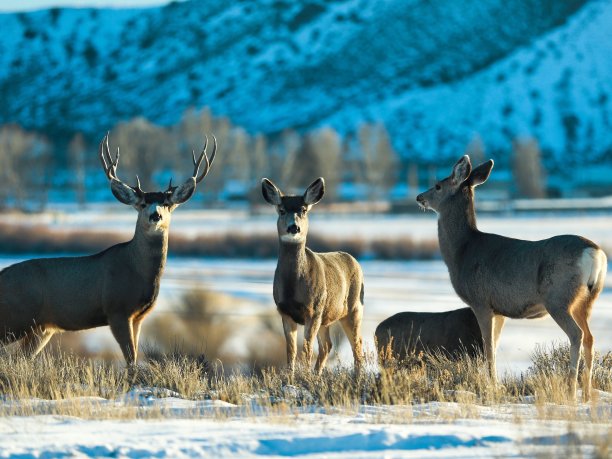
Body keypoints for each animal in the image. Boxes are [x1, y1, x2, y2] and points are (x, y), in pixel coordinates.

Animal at [0, 133, 216, 366]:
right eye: (141, 204)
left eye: (167, 203)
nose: (155, 215)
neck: (138, 271)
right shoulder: (117, 310)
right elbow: (130, 360)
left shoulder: (139, 316)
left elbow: (135, 355)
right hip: (16, 316)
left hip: (41, 328)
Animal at [262, 178, 366, 376]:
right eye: (282, 210)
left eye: (303, 209)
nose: (293, 227)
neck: (293, 287)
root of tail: (354, 260)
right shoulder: (284, 311)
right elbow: (291, 350)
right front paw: (291, 376)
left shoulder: (314, 310)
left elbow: (307, 349)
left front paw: (304, 376)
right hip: (327, 315)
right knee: (328, 345)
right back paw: (318, 375)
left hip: (353, 307)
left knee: (357, 345)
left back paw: (357, 376)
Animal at [416, 156, 608, 400]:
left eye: (438, 185)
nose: (419, 197)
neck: (463, 251)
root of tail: (594, 253)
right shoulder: (499, 310)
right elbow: (496, 346)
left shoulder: (481, 302)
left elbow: (488, 348)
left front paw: (491, 385)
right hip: (588, 299)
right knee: (590, 337)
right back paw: (586, 394)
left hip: (558, 297)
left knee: (577, 335)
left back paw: (571, 390)